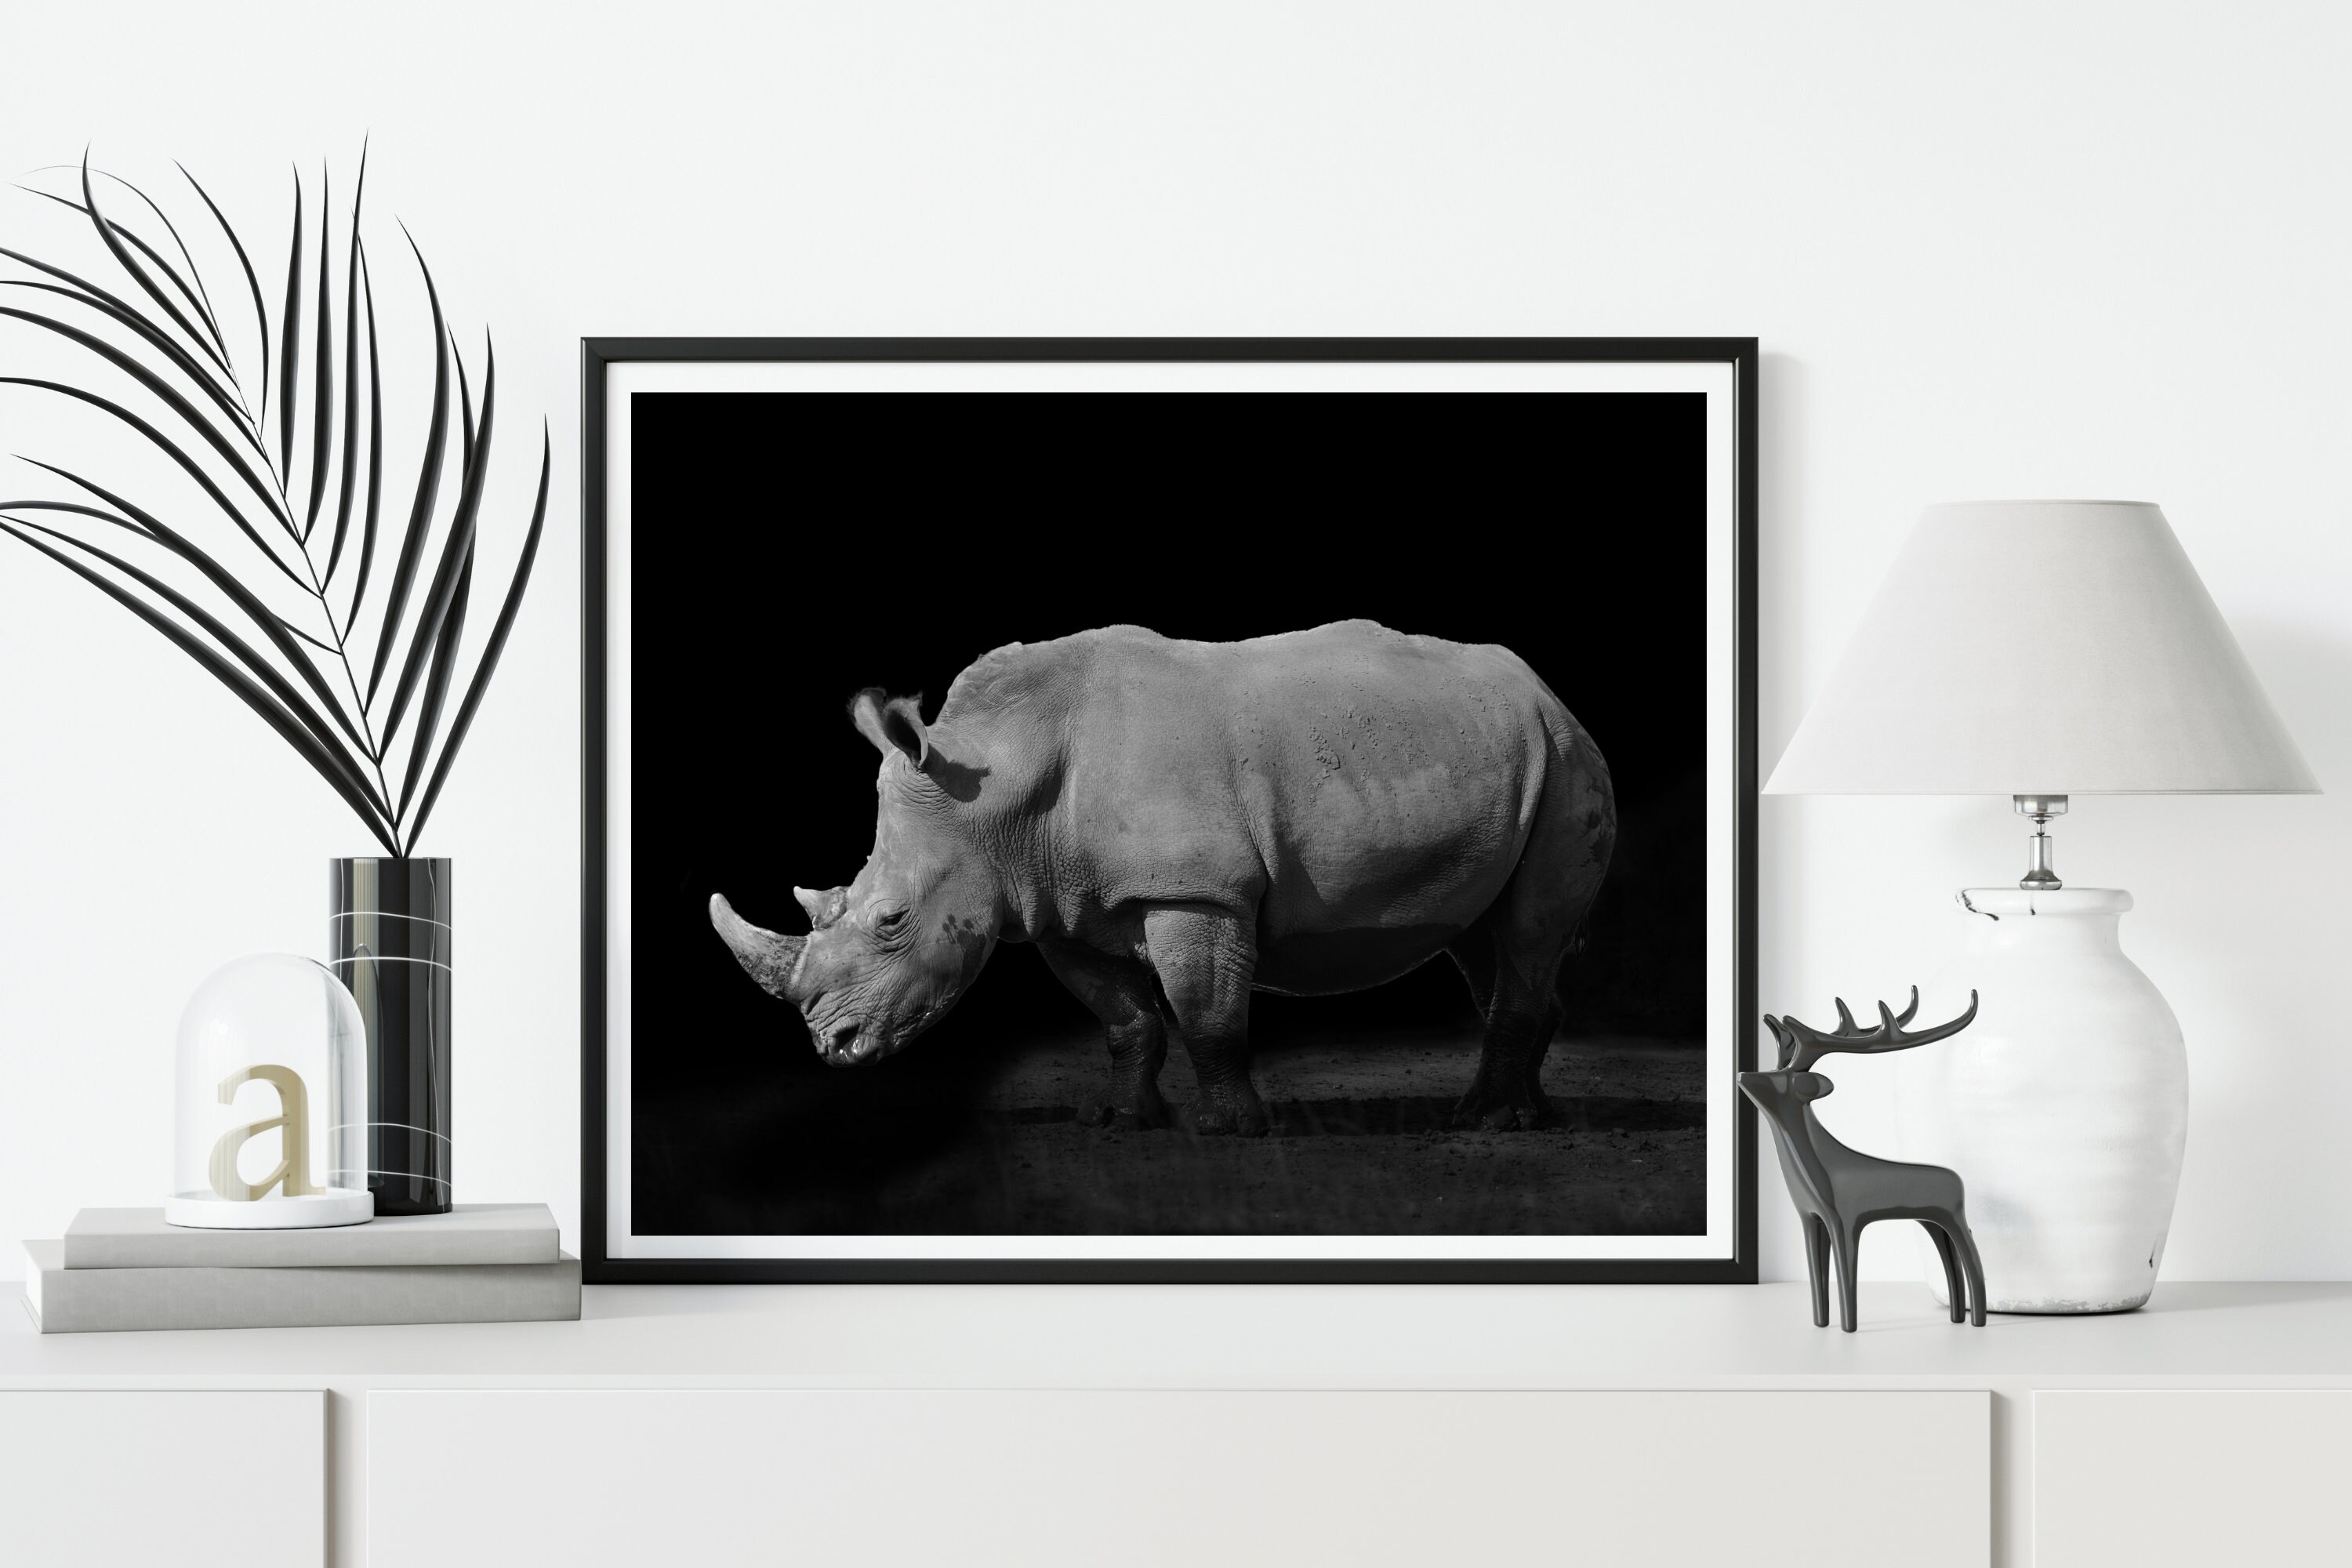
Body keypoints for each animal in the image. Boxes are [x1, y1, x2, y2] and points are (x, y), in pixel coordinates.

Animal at [709, 619, 1615, 1134]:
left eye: (892, 920)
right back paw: (1530, 1116)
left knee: (1527, 931)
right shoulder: (1055, 903)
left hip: (1565, 761)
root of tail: (1547, 691)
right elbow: (1127, 1020)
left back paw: (1490, 1122)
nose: (833, 1047)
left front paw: (1229, 1131)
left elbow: (1205, 1012)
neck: (995, 788)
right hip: (1501, 755)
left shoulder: (1194, 891)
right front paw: (1119, 1121)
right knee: (1486, 941)